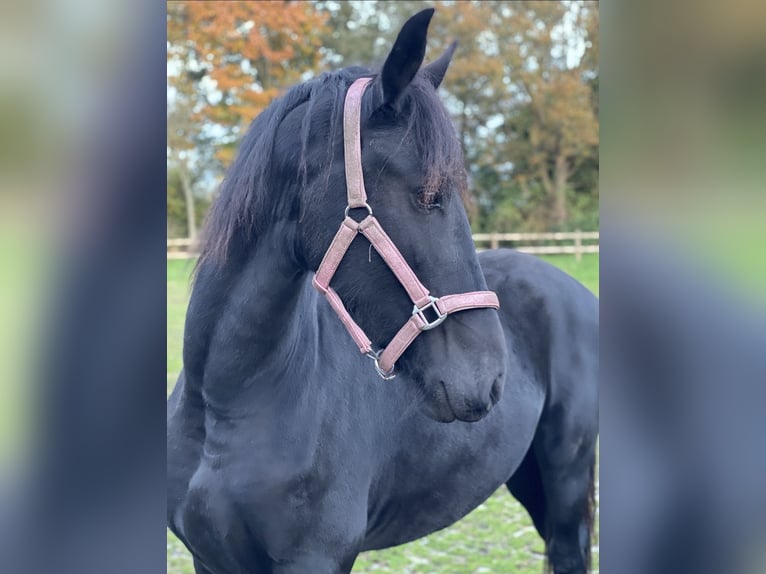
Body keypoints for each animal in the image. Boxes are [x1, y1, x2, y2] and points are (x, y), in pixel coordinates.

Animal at [167, 8, 598, 574]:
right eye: (429, 195)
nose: (489, 380)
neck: (227, 408)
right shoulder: (211, 559)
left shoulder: (316, 558)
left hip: (566, 483)